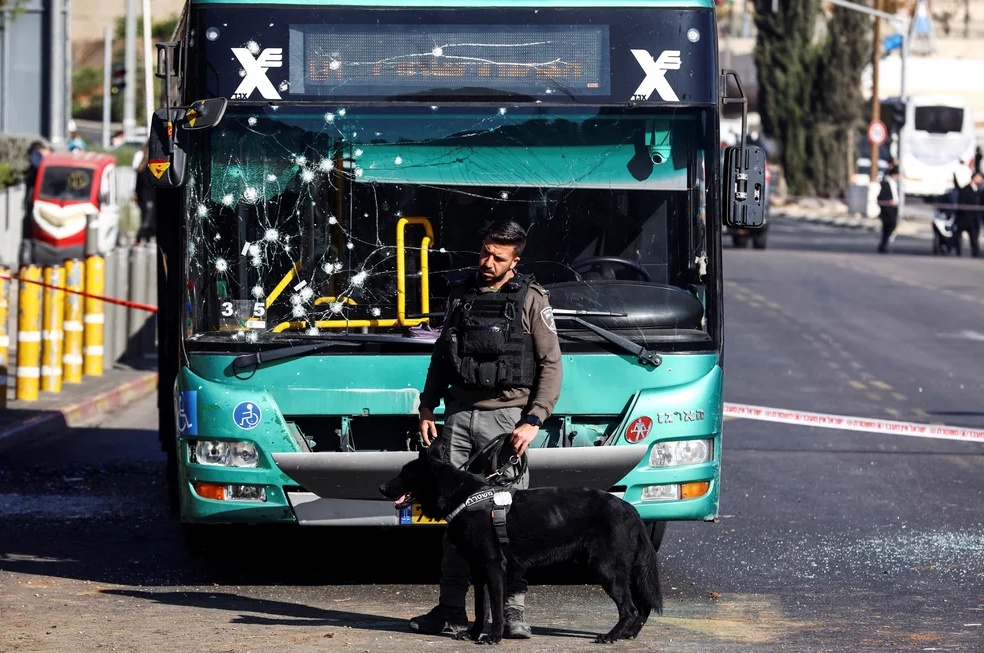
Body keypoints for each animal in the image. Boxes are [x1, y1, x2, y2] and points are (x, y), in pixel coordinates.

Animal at [376, 446, 660, 644]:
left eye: (404, 474)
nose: (381, 487)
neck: (463, 496)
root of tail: (630, 509)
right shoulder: (480, 571)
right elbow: (480, 608)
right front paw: (474, 634)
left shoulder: (493, 567)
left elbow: (496, 608)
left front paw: (493, 638)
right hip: (626, 570)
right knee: (642, 606)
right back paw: (628, 634)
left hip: (606, 569)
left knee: (630, 608)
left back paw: (611, 636)